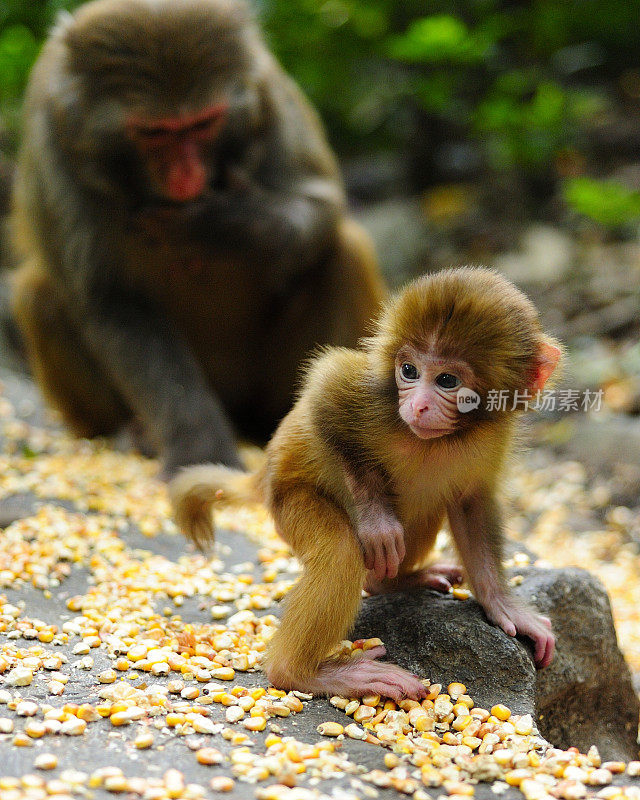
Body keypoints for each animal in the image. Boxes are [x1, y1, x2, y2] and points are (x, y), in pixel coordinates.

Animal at [12, 0, 382, 476]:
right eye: (153, 132)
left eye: (204, 124)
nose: (186, 176)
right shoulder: (51, 137)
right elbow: (113, 300)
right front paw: (199, 450)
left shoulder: (267, 91)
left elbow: (322, 203)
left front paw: (222, 224)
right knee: (37, 293)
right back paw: (129, 432)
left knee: (341, 252)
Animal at [170, 266, 560, 696]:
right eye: (409, 371)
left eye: (447, 380)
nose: (418, 406)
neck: (442, 439)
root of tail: (265, 470)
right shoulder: (377, 399)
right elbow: (325, 393)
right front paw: (377, 521)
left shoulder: (492, 437)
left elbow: (471, 503)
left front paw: (502, 604)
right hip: (288, 499)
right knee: (340, 553)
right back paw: (305, 673)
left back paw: (389, 584)